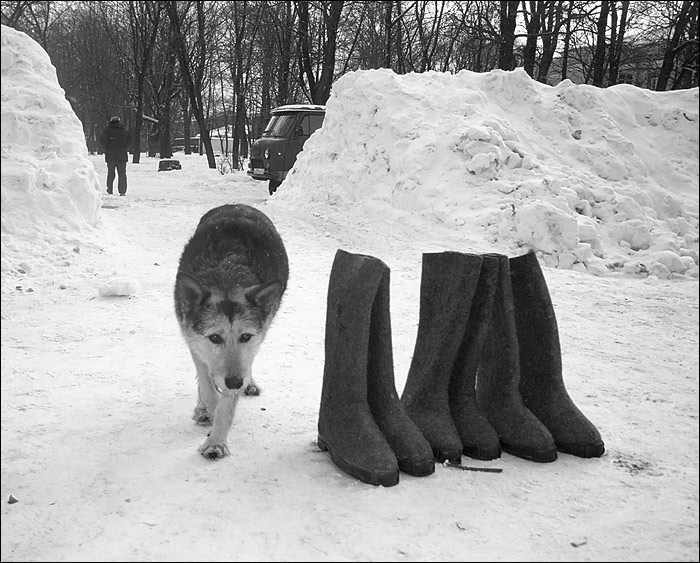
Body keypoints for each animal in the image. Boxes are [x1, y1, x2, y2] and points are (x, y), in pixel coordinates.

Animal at [176, 205, 288, 460]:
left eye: (245, 336)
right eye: (214, 337)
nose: (236, 382)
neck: (227, 275)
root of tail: (239, 205)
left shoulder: (250, 345)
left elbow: (227, 403)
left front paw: (216, 441)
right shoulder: (194, 341)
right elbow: (206, 383)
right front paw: (209, 407)